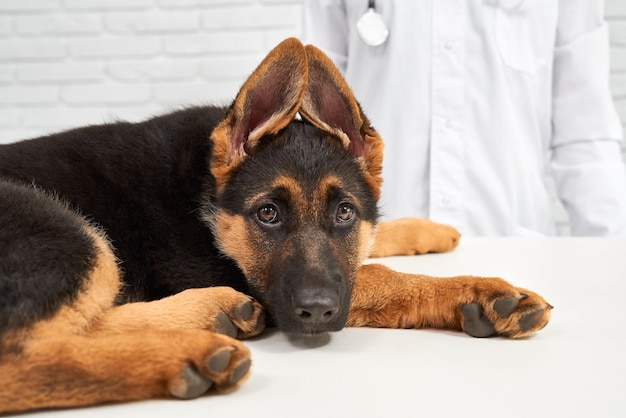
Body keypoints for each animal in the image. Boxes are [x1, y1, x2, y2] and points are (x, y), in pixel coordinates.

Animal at [0, 39, 544, 414]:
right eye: (267, 214)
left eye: (344, 212)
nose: (317, 313)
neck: (206, 197)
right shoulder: (250, 276)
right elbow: (375, 276)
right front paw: (479, 290)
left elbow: (371, 245)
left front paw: (427, 230)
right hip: (69, 233)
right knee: (23, 355)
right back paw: (187, 352)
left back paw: (213, 313)